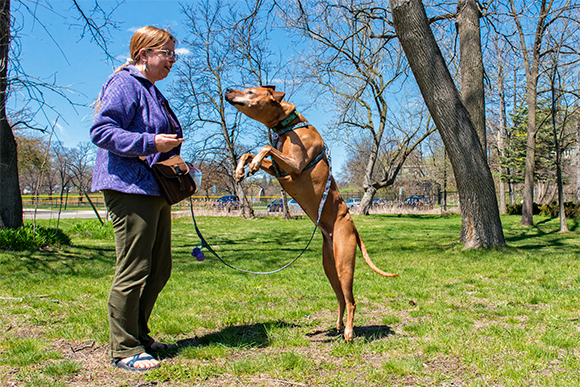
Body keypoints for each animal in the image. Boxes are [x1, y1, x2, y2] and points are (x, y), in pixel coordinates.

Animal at [224, 85, 396, 342]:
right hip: (329, 266)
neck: (289, 127)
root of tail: (353, 227)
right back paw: (336, 327)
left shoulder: (294, 165)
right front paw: (241, 168)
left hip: (345, 264)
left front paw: (252, 163)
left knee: (352, 300)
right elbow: (250, 152)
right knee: (341, 298)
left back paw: (348, 332)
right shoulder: (279, 168)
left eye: (251, 91)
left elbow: (266, 147)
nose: (227, 89)